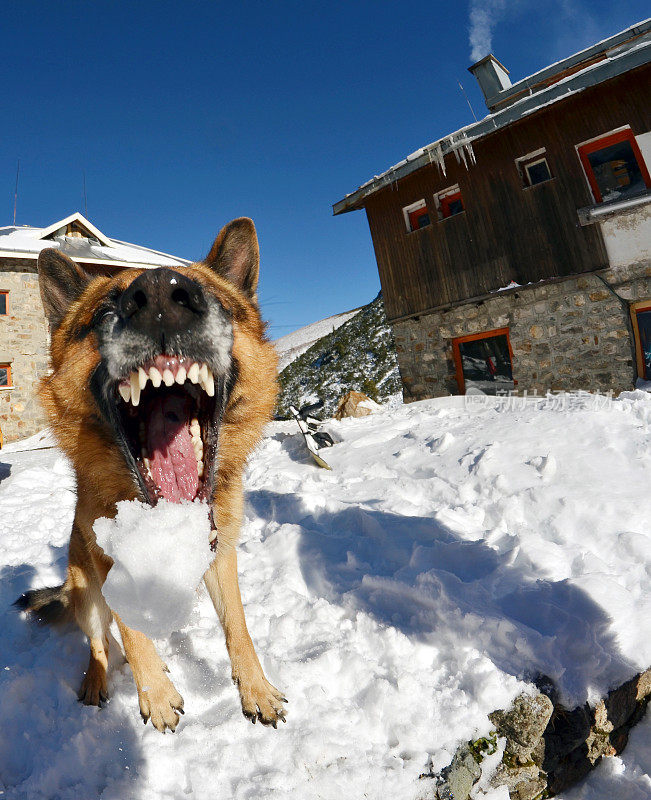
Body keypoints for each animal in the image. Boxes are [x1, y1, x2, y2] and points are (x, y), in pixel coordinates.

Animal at [16, 217, 286, 732]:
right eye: (104, 309)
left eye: (215, 298)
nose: (161, 291)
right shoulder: (110, 569)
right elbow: (130, 631)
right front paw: (156, 696)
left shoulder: (220, 557)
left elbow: (237, 628)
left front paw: (256, 689)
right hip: (86, 593)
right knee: (100, 644)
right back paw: (99, 682)